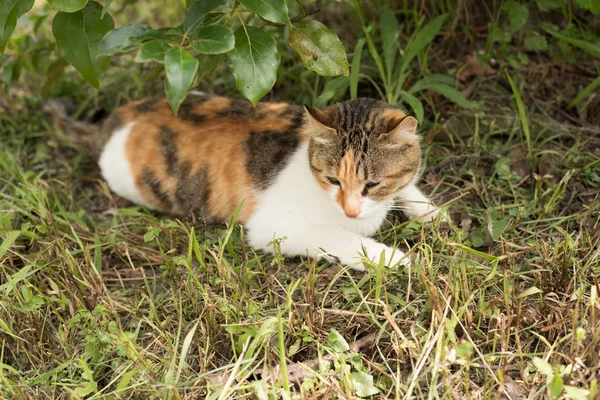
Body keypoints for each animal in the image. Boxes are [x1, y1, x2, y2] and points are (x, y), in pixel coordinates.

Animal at [97, 92, 440, 270]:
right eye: (333, 180)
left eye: (372, 184)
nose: (351, 211)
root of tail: (123, 114)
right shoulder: (272, 229)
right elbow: (341, 238)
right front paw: (389, 256)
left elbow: (407, 186)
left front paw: (429, 211)